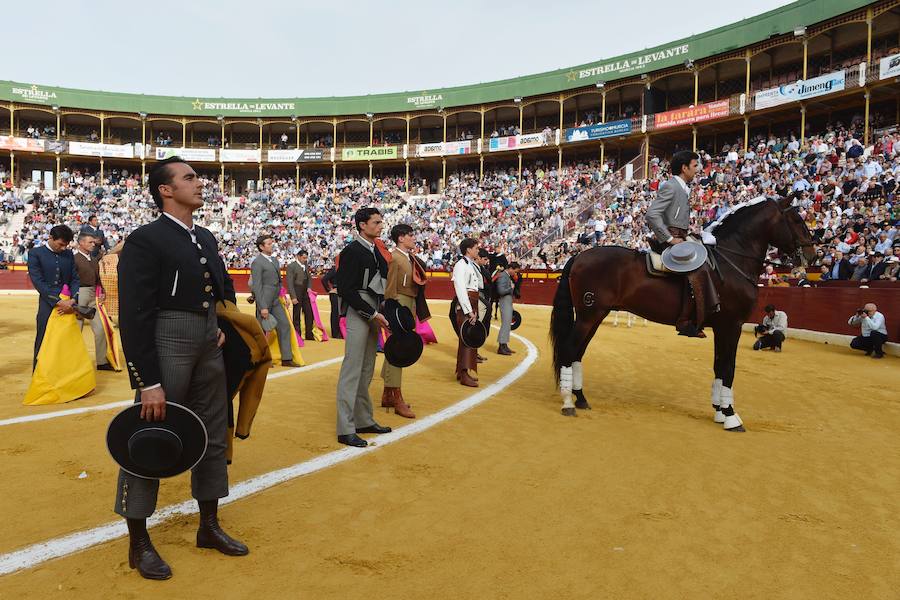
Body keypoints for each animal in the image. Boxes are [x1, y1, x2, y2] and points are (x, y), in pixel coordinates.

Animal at [548, 192, 816, 432]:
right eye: (796, 220)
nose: (811, 255)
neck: (731, 261)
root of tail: (579, 256)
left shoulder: (722, 327)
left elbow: (719, 366)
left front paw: (719, 411)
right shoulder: (732, 325)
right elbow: (728, 367)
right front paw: (731, 416)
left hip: (594, 315)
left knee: (578, 352)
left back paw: (581, 398)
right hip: (588, 315)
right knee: (570, 349)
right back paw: (568, 402)